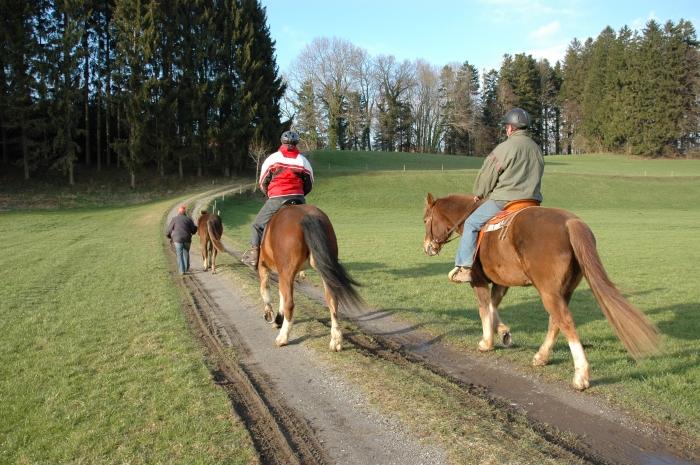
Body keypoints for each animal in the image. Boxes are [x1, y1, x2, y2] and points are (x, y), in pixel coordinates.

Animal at [260, 201, 364, 350]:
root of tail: (307, 216)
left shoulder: (264, 267)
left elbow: (265, 291)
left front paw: (271, 315)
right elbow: (280, 295)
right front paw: (278, 318)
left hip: (288, 272)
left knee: (289, 303)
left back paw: (283, 338)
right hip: (325, 271)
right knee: (333, 301)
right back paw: (336, 340)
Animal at [424, 192, 660, 388]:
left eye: (426, 219)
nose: (427, 247)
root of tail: (570, 222)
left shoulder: (479, 280)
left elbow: (484, 308)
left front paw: (487, 341)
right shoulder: (502, 283)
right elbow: (493, 306)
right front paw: (503, 332)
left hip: (548, 292)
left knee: (564, 320)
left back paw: (580, 375)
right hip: (563, 291)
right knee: (555, 321)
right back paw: (542, 356)